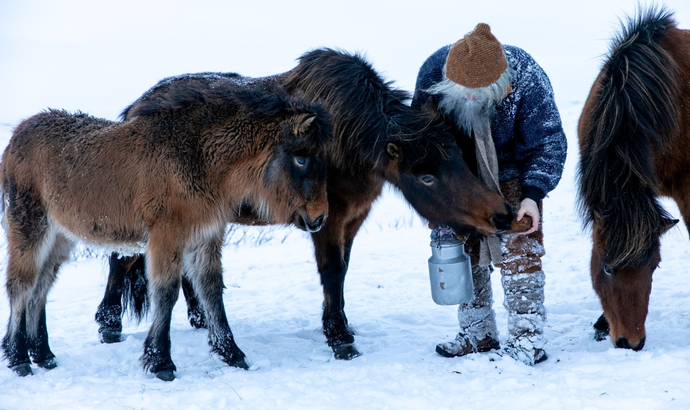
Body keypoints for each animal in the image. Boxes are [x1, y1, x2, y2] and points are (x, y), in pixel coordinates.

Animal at [2, 84, 330, 382]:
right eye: (301, 157)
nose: (320, 217)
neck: (200, 157)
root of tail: (16, 136)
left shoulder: (206, 237)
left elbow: (211, 291)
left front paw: (231, 353)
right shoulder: (167, 237)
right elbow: (166, 293)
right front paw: (161, 361)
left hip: (60, 238)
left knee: (40, 289)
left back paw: (43, 355)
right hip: (29, 228)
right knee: (21, 287)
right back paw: (19, 359)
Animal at [94, 48, 510, 362]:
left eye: (461, 157)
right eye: (426, 178)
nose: (501, 215)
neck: (346, 138)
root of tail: (133, 111)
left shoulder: (354, 217)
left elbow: (343, 271)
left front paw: (340, 324)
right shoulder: (326, 217)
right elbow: (332, 272)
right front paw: (339, 339)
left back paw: (198, 318)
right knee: (121, 258)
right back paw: (109, 324)